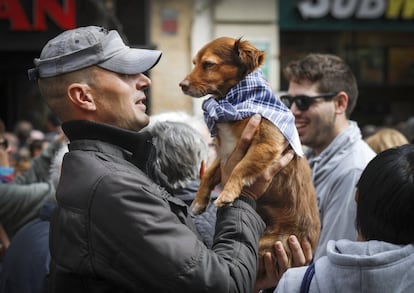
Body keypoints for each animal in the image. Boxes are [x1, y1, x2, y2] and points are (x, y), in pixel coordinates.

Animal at [179, 36, 320, 276]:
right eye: (194, 63)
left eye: (208, 64)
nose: (182, 84)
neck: (235, 100)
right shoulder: (224, 153)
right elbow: (208, 174)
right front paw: (199, 201)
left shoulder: (266, 145)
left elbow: (240, 168)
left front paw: (228, 193)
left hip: (267, 245)